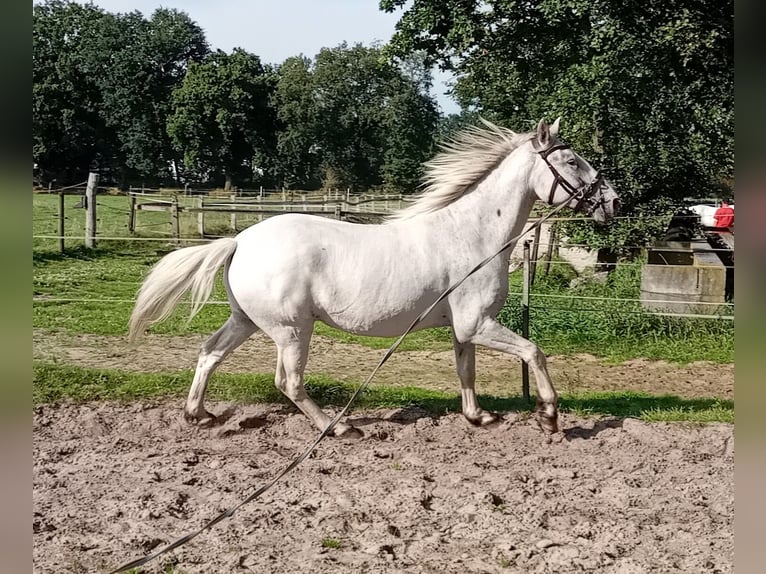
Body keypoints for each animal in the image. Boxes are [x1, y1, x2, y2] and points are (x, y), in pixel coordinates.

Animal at [129, 120, 620, 436]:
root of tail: (240, 241)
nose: (614, 202)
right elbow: (534, 352)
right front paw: (550, 417)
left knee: (210, 353)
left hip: (248, 321)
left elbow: (466, 370)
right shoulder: (478, 323)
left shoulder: (464, 329)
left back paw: (199, 415)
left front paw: (479, 417)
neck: (474, 235)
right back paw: (338, 426)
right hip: (292, 330)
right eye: (572, 160)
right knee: (288, 382)